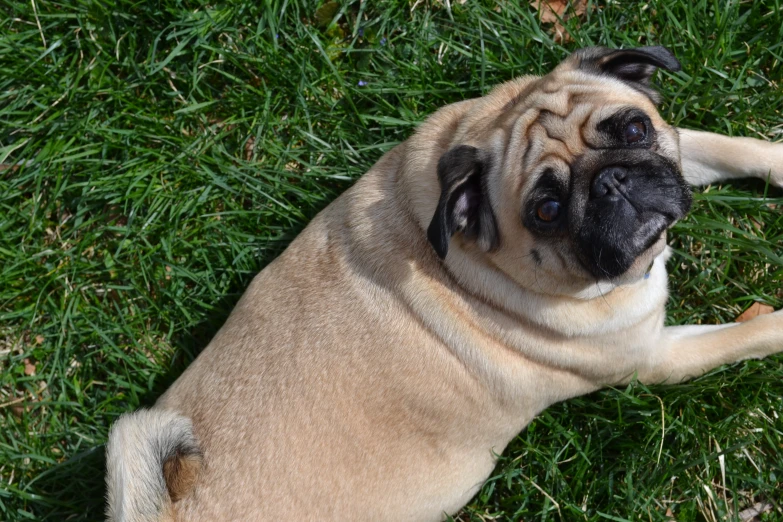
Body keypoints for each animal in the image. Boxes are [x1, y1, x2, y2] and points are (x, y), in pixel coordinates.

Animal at [107, 47, 783, 520]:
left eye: (635, 129)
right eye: (547, 210)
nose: (611, 183)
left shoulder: (679, 154)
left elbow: (729, 147)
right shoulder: (653, 356)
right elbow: (739, 337)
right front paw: (773, 327)